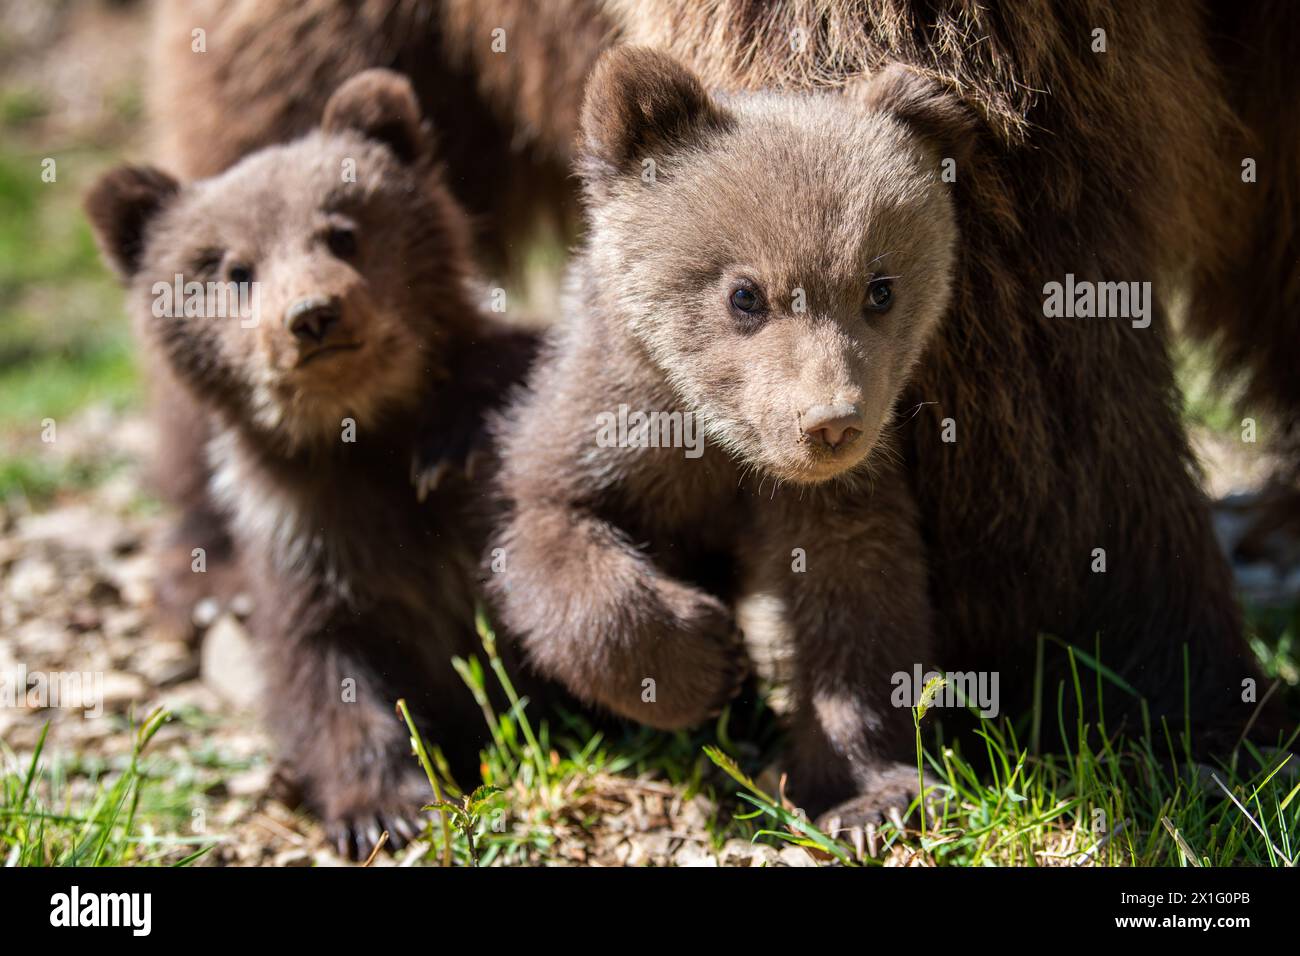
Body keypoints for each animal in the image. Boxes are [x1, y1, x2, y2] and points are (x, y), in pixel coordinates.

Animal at [86, 69, 538, 859]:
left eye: (343, 231)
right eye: (234, 269)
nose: (314, 314)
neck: (365, 441)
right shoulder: (305, 544)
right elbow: (324, 673)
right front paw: (382, 807)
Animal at [492, 47, 976, 823]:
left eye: (880, 288)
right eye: (744, 293)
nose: (830, 422)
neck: (726, 450)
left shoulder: (840, 493)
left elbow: (862, 602)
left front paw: (867, 794)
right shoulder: (603, 425)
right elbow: (553, 543)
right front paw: (704, 656)